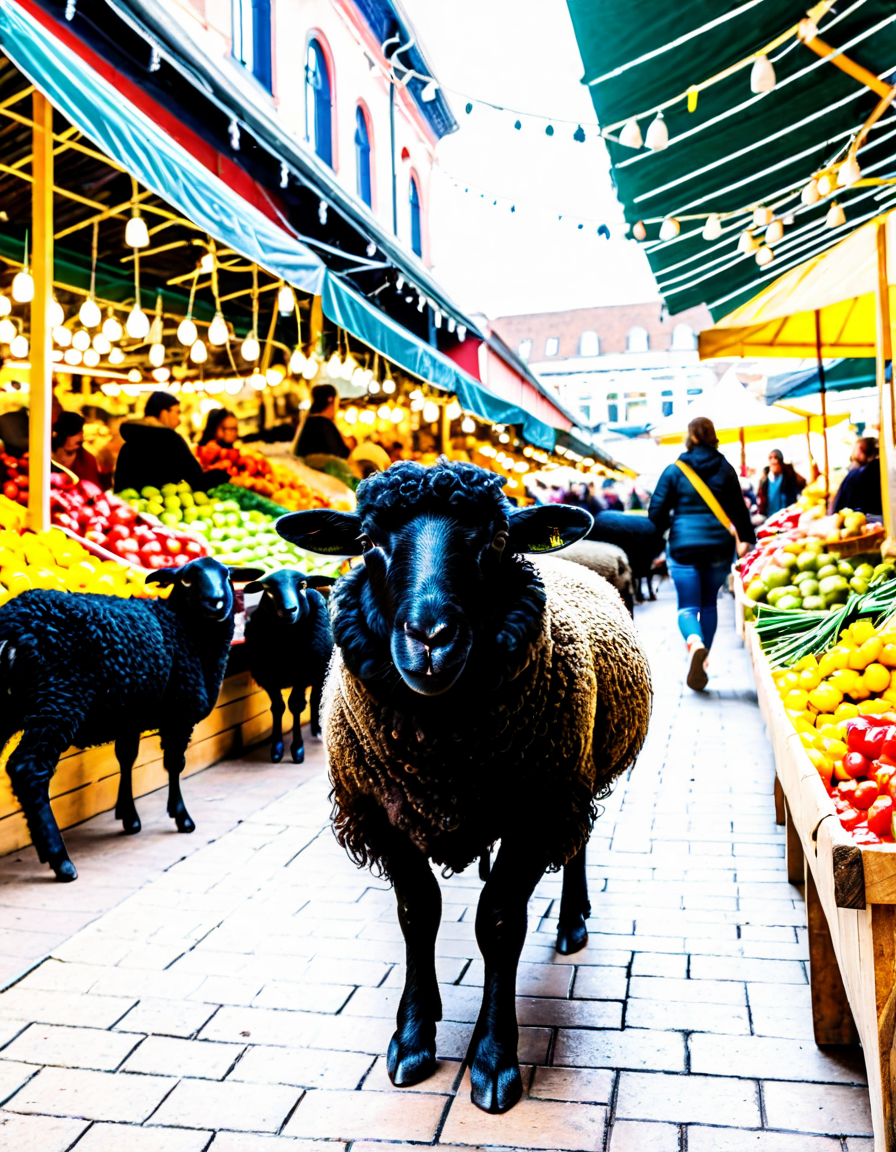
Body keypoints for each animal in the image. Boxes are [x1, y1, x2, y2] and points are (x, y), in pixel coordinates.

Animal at [0, 556, 261, 882]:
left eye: (226, 575)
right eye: (186, 579)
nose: (217, 601)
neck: (183, 628)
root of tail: (13, 626)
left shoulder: (130, 714)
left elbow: (126, 758)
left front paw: (129, 817)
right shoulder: (180, 713)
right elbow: (174, 764)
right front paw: (181, 818)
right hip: (60, 697)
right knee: (28, 768)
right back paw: (60, 860)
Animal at [243, 569, 336, 764]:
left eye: (303, 585)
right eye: (268, 589)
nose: (289, 610)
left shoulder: (303, 673)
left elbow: (296, 705)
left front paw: (297, 749)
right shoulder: (267, 677)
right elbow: (277, 707)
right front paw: (277, 748)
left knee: (316, 697)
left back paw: (318, 729)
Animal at [277, 459, 652, 1115]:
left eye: (497, 542)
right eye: (367, 542)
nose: (430, 637)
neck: (441, 754)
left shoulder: (536, 808)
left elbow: (499, 923)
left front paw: (493, 1057)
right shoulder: (380, 814)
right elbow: (416, 912)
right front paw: (412, 1036)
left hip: (571, 775)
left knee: (577, 843)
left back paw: (573, 922)